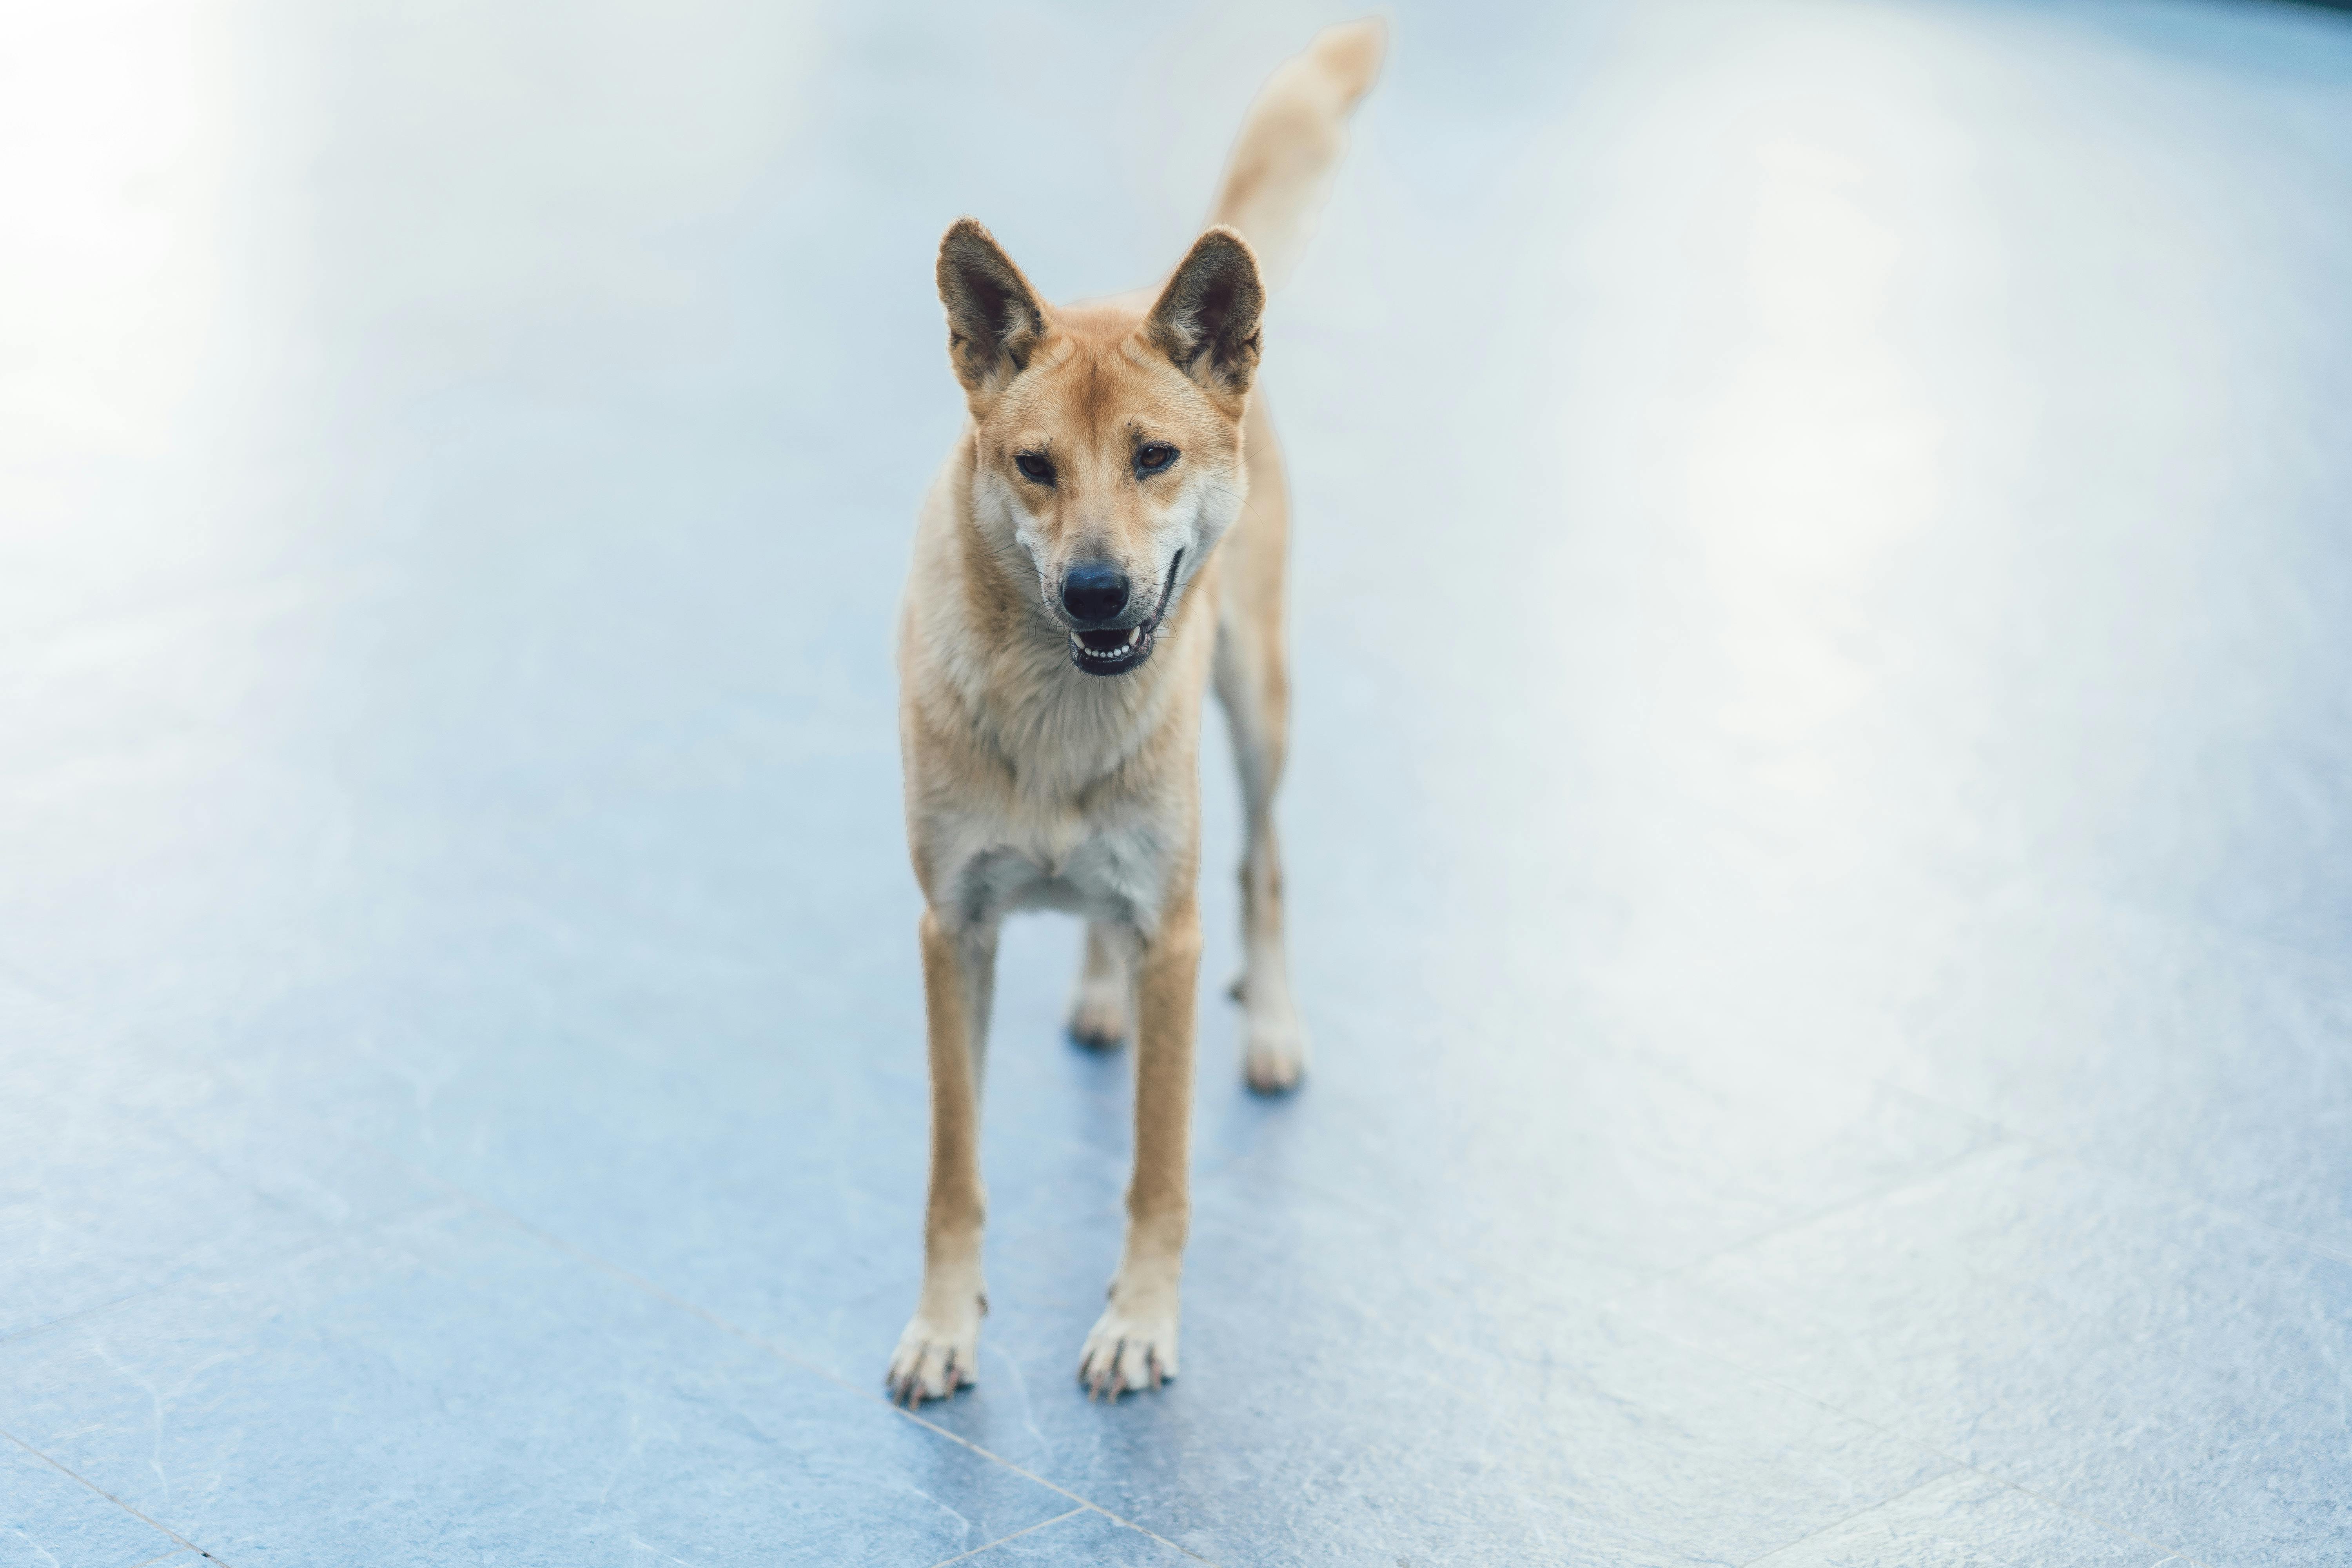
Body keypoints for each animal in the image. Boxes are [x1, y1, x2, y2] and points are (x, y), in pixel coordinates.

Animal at [889, 15, 1383, 1410]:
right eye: (1033, 467)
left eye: (1154, 458)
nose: (1097, 590)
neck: (1063, 710)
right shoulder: (951, 935)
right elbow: (953, 1171)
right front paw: (944, 1325)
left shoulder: (1174, 936)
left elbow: (1155, 1173)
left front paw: (1138, 1325)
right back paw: (1098, 991)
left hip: (1260, 711)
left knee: (1264, 867)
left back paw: (1270, 1024)